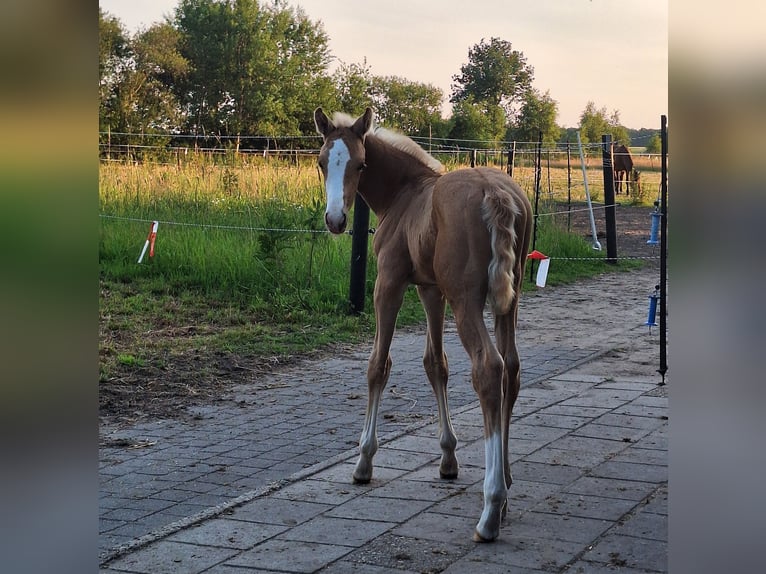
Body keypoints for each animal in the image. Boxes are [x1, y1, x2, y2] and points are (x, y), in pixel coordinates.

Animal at [314, 107, 533, 542]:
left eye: (360, 164)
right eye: (322, 162)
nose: (336, 219)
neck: (405, 194)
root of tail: (496, 193)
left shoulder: (390, 283)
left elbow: (378, 365)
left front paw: (364, 462)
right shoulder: (431, 290)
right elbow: (436, 365)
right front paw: (448, 458)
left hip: (467, 299)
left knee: (489, 368)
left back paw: (490, 509)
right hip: (509, 299)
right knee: (512, 370)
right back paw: (506, 488)